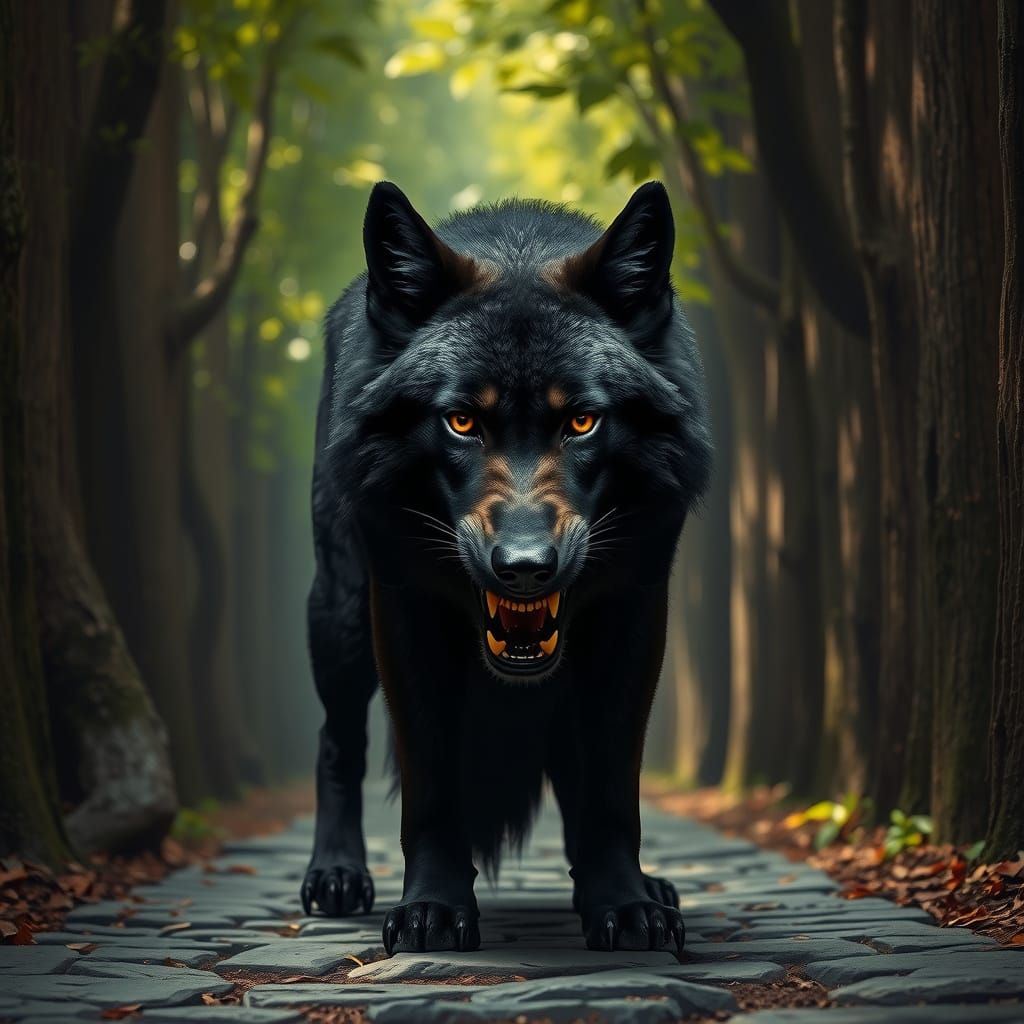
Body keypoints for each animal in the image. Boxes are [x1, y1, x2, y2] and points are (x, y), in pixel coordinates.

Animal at [301, 180, 712, 954]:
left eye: (582, 421)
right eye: (461, 420)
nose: (524, 567)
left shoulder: (636, 608)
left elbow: (611, 788)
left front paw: (626, 906)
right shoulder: (404, 607)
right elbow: (432, 786)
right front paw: (432, 910)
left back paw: (646, 888)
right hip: (338, 618)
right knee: (337, 741)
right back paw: (336, 876)